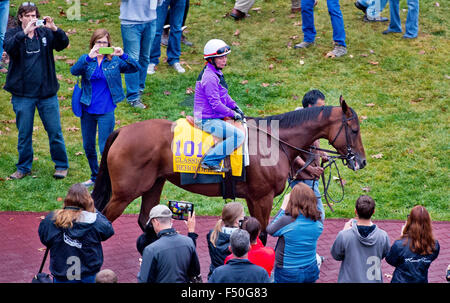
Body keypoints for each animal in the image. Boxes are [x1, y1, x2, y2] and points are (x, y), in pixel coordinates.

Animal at [91, 97, 366, 238]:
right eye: (354, 130)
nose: (361, 161)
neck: (274, 140)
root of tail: (122, 130)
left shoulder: (255, 199)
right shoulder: (262, 198)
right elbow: (260, 233)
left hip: (153, 184)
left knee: (146, 219)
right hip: (125, 192)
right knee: (102, 218)